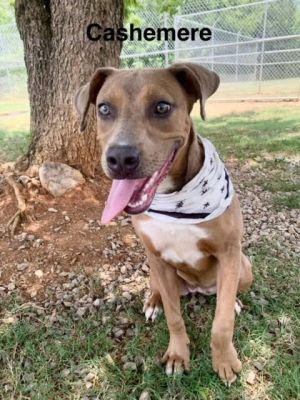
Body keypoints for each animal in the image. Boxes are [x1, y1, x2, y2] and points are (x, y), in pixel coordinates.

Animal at [75, 64, 253, 386]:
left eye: (161, 107)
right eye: (104, 109)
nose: (120, 157)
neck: (174, 202)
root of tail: (198, 289)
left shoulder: (229, 252)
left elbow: (222, 323)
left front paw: (224, 360)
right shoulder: (157, 257)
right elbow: (174, 316)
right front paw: (177, 355)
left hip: (244, 266)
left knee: (227, 294)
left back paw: (231, 300)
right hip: (156, 269)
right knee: (159, 290)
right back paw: (153, 302)